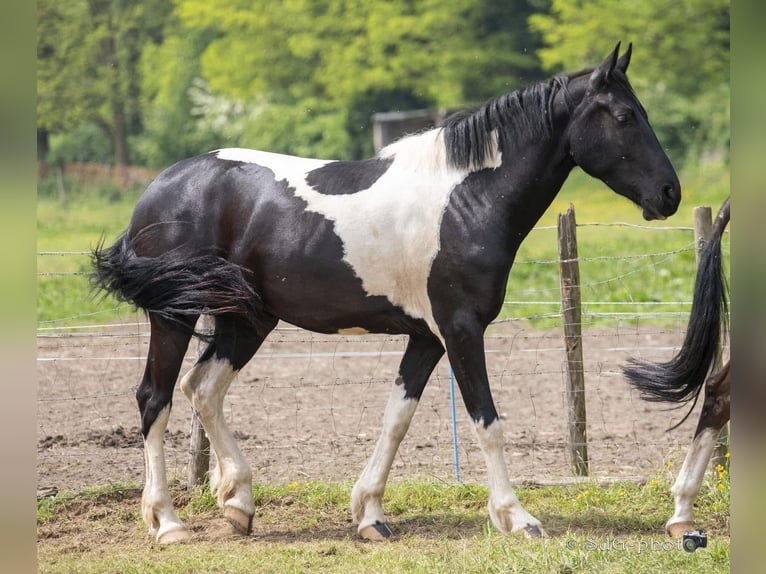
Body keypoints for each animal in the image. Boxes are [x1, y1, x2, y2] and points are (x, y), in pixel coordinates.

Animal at [93, 45, 680, 544]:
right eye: (624, 116)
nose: (670, 193)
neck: (466, 198)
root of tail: (157, 189)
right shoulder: (461, 329)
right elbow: (486, 421)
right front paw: (517, 517)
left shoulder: (426, 338)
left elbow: (396, 419)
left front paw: (370, 515)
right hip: (176, 318)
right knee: (156, 398)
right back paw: (168, 523)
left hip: (248, 320)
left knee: (204, 389)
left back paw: (238, 503)